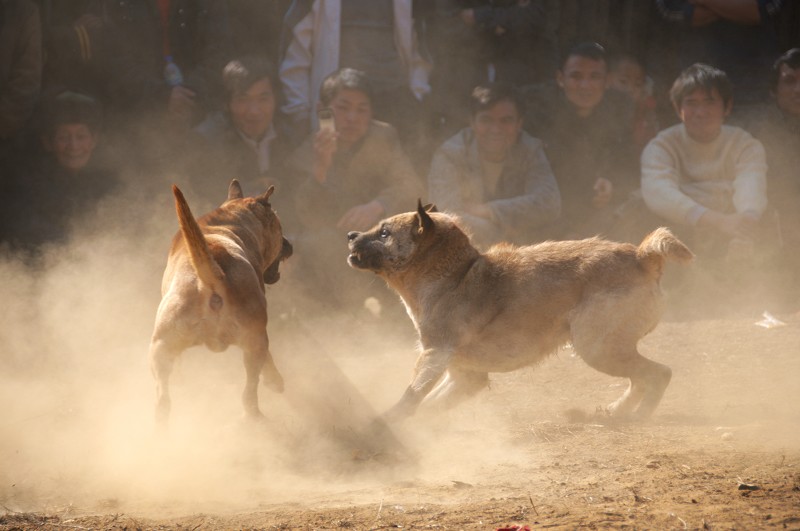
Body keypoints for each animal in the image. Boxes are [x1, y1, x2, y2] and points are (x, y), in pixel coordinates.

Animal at [149, 182, 290, 428]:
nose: (290, 245)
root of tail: (209, 277)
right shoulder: (259, 334)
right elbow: (269, 361)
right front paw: (274, 380)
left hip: (161, 348)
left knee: (163, 400)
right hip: (255, 342)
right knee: (249, 392)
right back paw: (256, 416)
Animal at [346, 204, 692, 424]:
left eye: (384, 232)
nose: (350, 235)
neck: (455, 275)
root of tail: (642, 256)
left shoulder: (434, 355)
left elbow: (413, 395)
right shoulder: (465, 375)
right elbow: (429, 404)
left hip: (597, 348)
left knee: (659, 373)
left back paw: (637, 416)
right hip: (606, 349)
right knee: (641, 379)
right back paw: (614, 412)